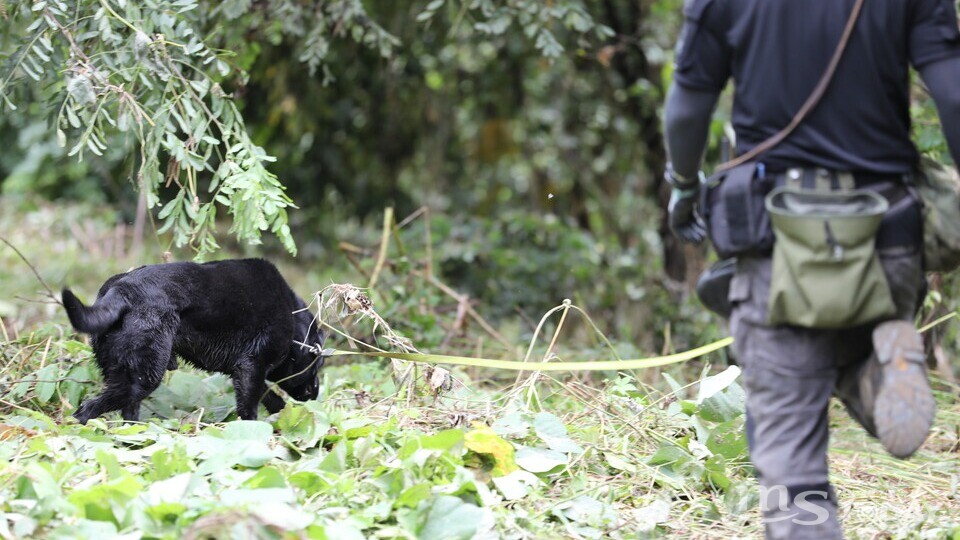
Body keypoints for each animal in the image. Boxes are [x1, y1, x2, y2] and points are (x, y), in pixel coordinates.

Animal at [63, 260, 328, 424]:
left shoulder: (243, 371)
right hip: (146, 375)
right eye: (316, 364)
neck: (294, 325)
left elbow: (269, 396)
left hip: (128, 373)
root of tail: (121, 291)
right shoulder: (252, 366)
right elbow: (251, 406)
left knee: (127, 409)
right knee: (90, 407)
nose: (315, 393)